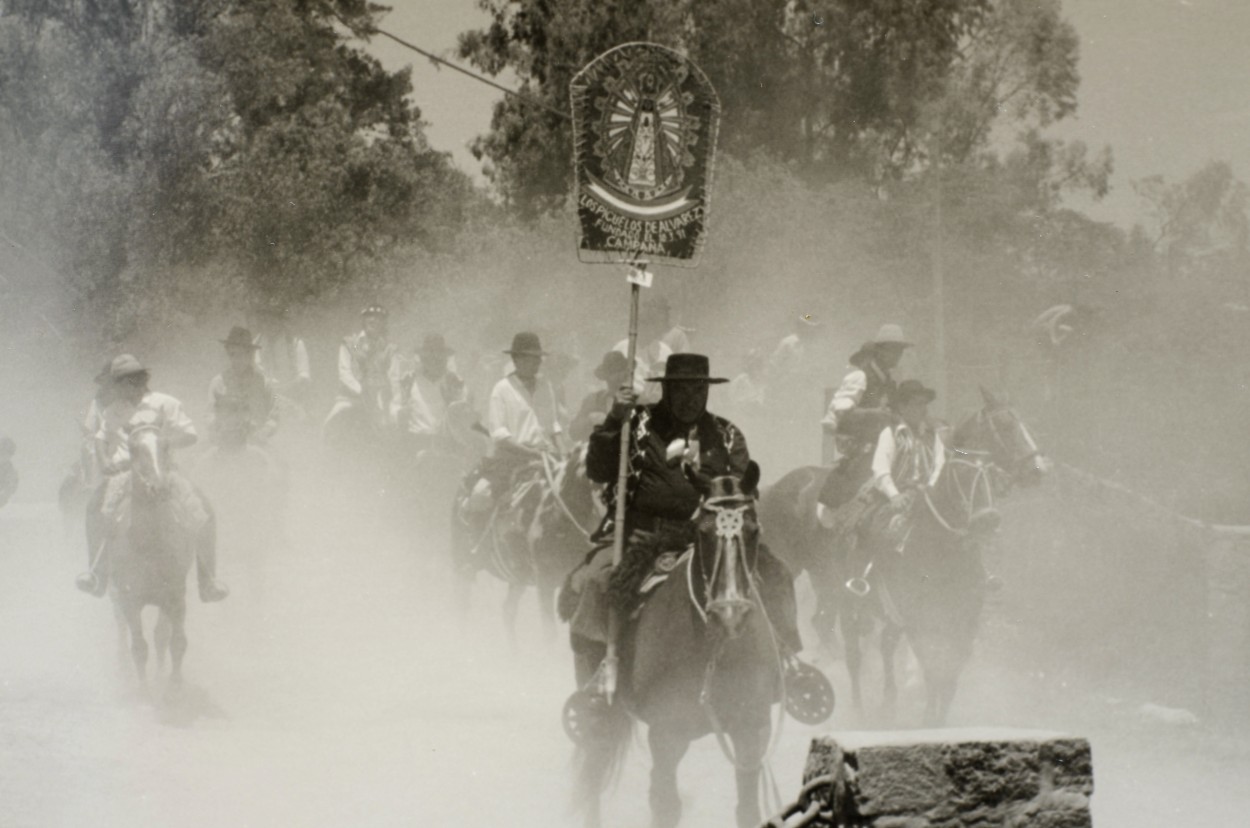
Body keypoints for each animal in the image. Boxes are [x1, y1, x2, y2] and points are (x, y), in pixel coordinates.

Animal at [572, 467, 780, 828]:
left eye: (753, 530)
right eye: (703, 533)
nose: (730, 613)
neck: (714, 650)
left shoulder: (752, 730)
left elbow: (748, 809)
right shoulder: (667, 733)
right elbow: (665, 804)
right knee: (593, 773)